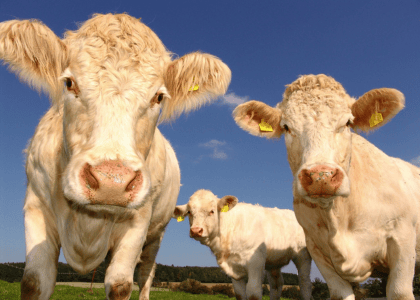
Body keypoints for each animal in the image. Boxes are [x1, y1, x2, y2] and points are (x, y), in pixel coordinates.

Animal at [0, 12, 233, 298]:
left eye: (158, 97)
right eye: (69, 83)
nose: (112, 182)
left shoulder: (139, 222)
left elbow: (121, 284)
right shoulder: (36, 207)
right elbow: (34, 281)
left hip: (156, 235)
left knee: (146, 274)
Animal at [172, 190, 314, 300]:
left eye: (212, 211)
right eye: (189, 212)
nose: (196, 230)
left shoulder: (256, 262)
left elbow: (253, 292)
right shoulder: (234, 269)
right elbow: (240, 294)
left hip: (303, 255)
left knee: (304, 283)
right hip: (273, 261)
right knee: (277, 284)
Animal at [233, 73, 420, 300]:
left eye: (348, 122)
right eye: (286, 127)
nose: (320, 175)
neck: (339, 217)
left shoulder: (403, 239)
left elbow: (399, 291)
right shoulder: (318, 250)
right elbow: (340, 293)